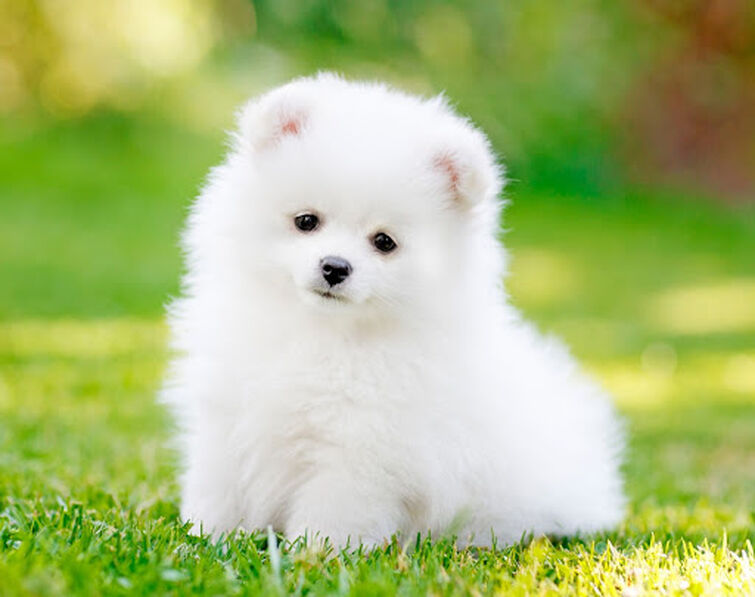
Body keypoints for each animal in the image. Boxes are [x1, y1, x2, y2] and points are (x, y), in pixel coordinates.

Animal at [165, 73, 628, 544]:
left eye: (384, 242)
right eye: (306, 221)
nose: (335, 267)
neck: (322, 333)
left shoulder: (361, 450)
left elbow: (334, 512)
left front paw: (315, 553)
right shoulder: (225, 419)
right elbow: (218, 488)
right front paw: (206, 537)